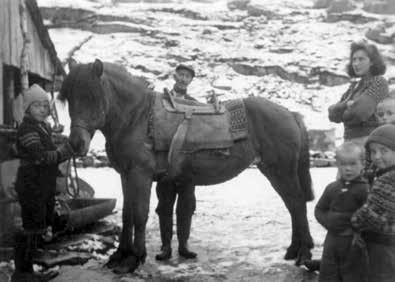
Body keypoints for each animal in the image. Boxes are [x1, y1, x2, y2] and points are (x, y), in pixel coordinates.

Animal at [60, 59, 316, 274]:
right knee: (293, 206)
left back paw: (303, 254)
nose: (76, 143)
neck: (137, 118)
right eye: (69, 97)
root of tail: (290, 114)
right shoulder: (126, 176)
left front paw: (134, 258)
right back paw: (293, 250)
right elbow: (127, 215)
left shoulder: (140, 176)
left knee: (297, 204)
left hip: (281, 172)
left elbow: (140, 215)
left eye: (92, 96)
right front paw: (119, 255)